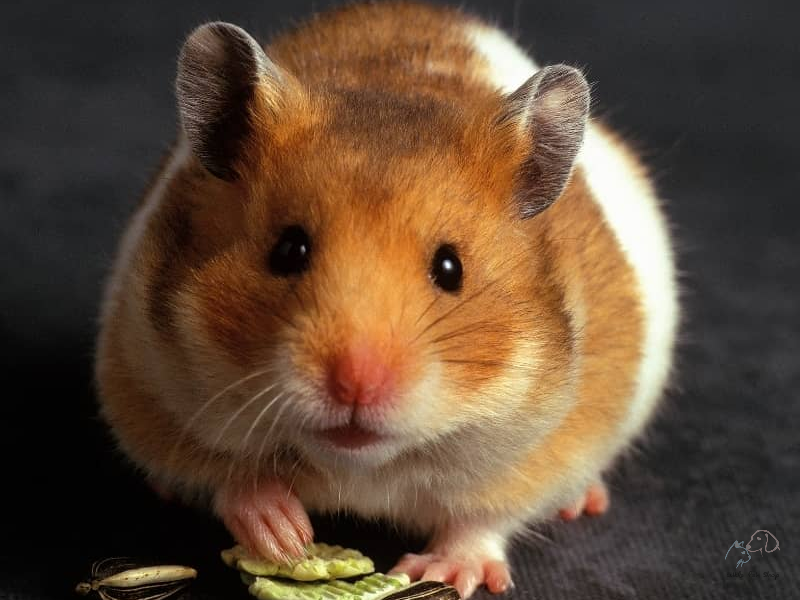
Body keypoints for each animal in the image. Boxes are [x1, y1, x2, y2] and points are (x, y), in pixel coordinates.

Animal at [95, 2, 678, 597]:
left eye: (450, 268)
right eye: (288, 250)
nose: (356, 385)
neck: (362, 464)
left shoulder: (549, 446)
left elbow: (483, 519)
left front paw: (441, 572)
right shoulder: (146, 385)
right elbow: (226, 477)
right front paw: (285, 537)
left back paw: (583, 501)